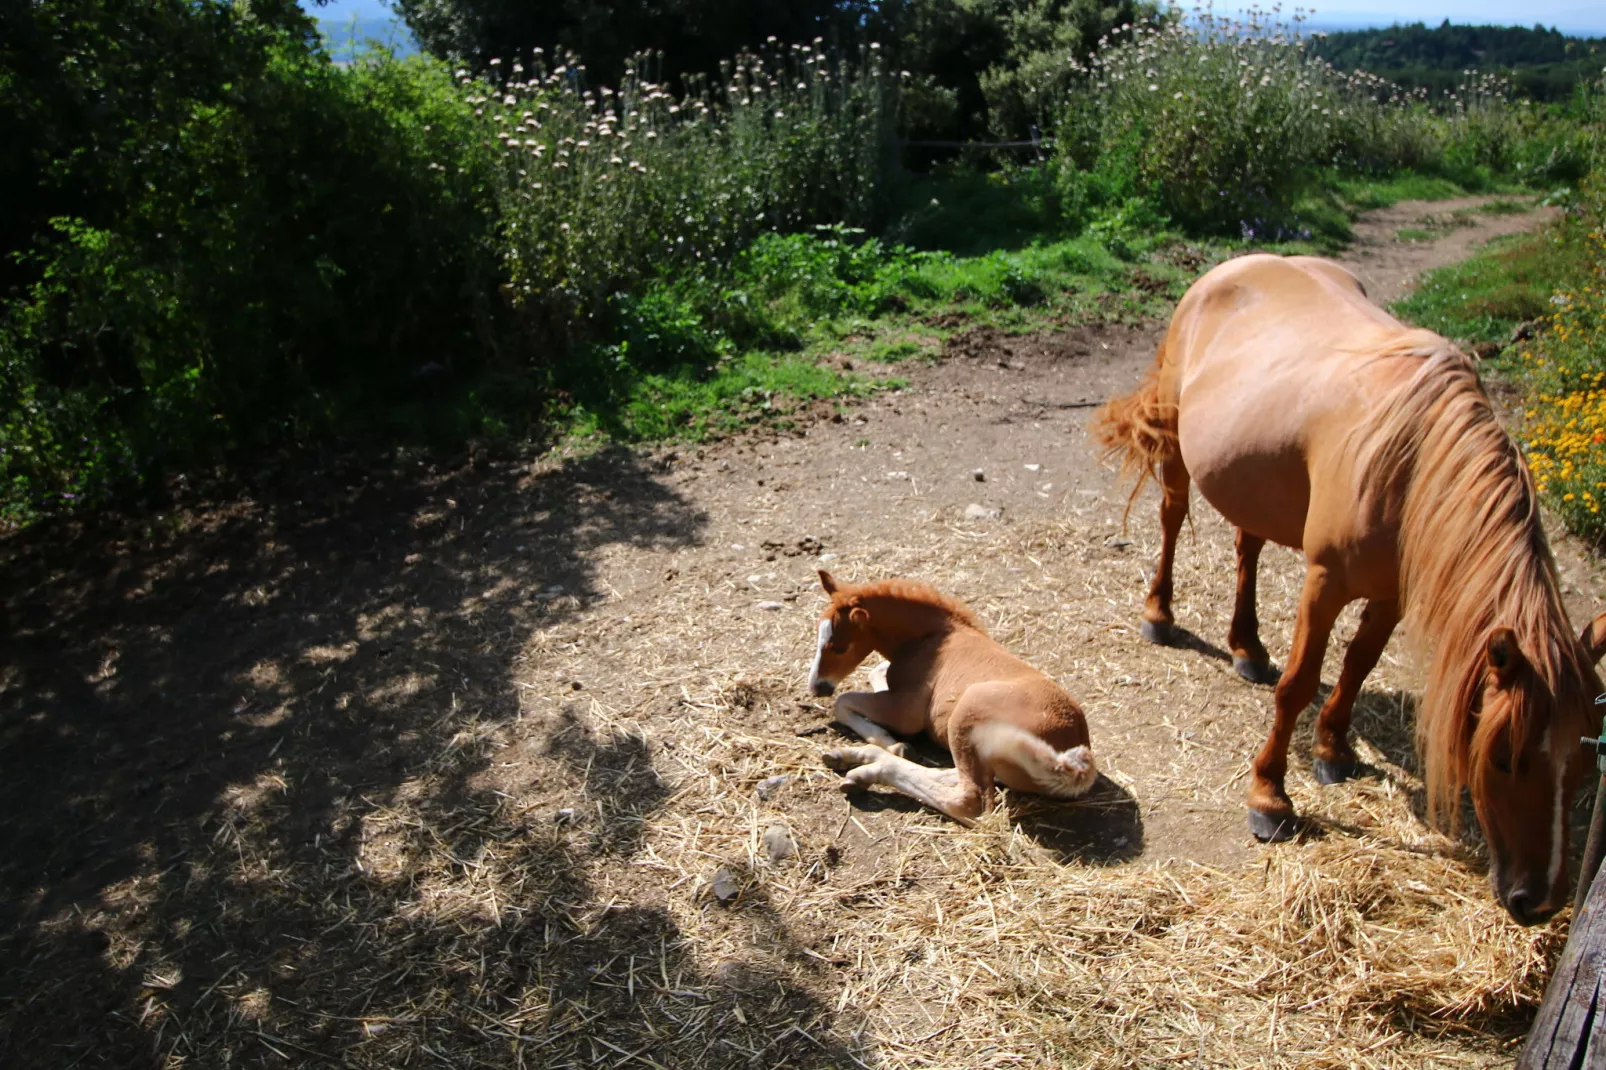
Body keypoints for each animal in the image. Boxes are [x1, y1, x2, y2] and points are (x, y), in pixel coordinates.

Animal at [809, 565, 1098, 822]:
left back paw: (872, 766)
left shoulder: (906, 712)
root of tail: (1070, 748)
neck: (934, 636)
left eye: (839, 647)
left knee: (968, 801)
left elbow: (843, 701)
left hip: (965, 713)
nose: (816, 686)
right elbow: (876, 672)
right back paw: (854, 762)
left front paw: (890, 741)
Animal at [1098, 253, 1606, 918]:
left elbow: (1359, 664)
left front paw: (1334, 749)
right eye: (1503, 758)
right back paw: (1160, 614)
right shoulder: (1326, 582)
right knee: (1173, 516)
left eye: (1585, 760)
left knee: (1248, 546)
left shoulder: (1392, 594)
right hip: (1178, 442)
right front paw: (1269, 797)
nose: (1538, 901)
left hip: (1252, 477)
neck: (1414, 461)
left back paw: (1246, 646)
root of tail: (1235, 266)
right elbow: (1298, 684)